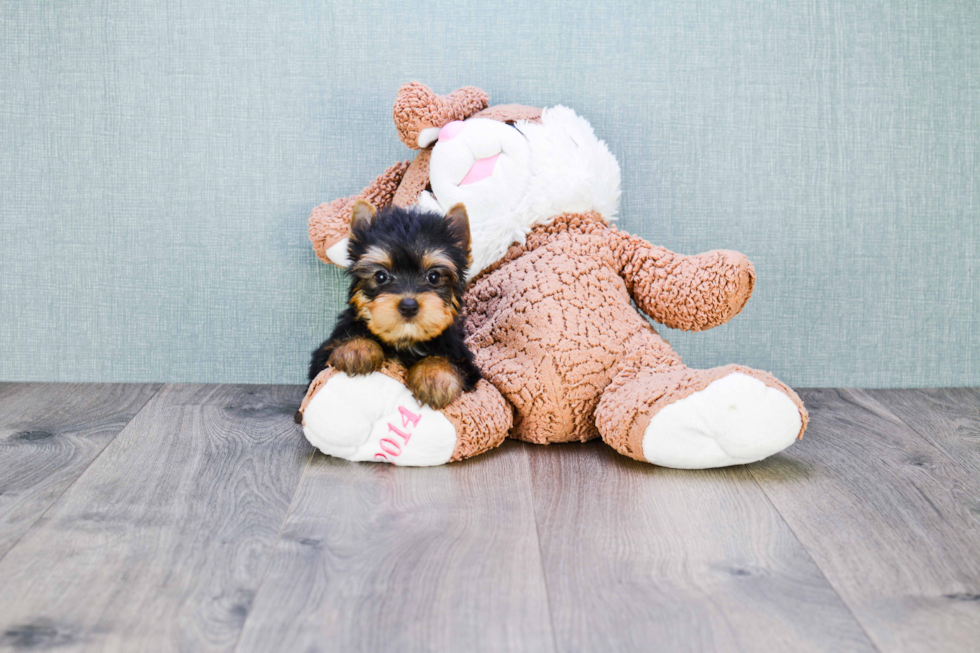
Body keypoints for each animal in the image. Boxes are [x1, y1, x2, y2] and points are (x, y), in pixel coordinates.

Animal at [302, 201, 478, 410]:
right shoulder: (322, 357)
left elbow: (451, 362)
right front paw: (357, 348)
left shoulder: (465, 361)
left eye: (434, 277)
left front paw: (435, 376)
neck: (405, 341)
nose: (408, 306)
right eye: (380, 276)